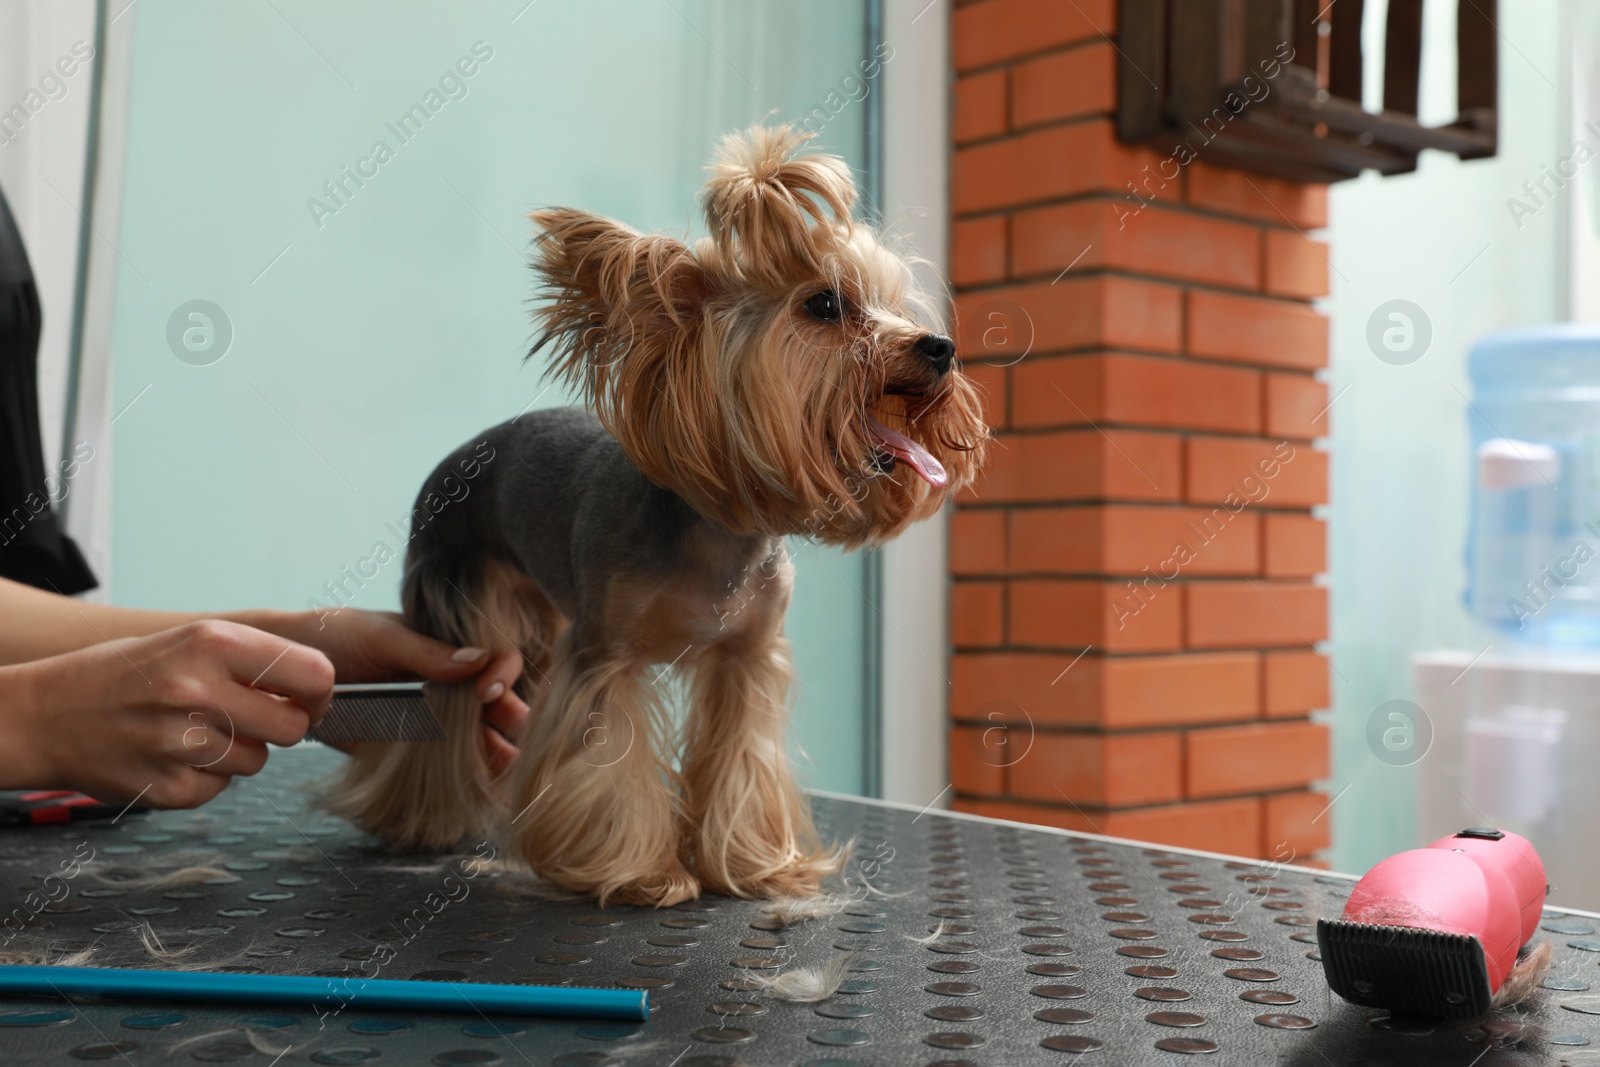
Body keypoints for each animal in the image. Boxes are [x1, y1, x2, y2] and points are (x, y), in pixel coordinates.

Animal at [328, 127, 985, 908]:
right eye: (825, 305)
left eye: (897, 306)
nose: (940, 348)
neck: (725, 529)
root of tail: (454, 460)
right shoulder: (603, 653)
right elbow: (608, 756)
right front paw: (637, 871)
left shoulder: (747, 659)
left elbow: (741, 758)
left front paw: (756, 865)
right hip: (455, 607)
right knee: (443, 713)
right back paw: (416, 821)